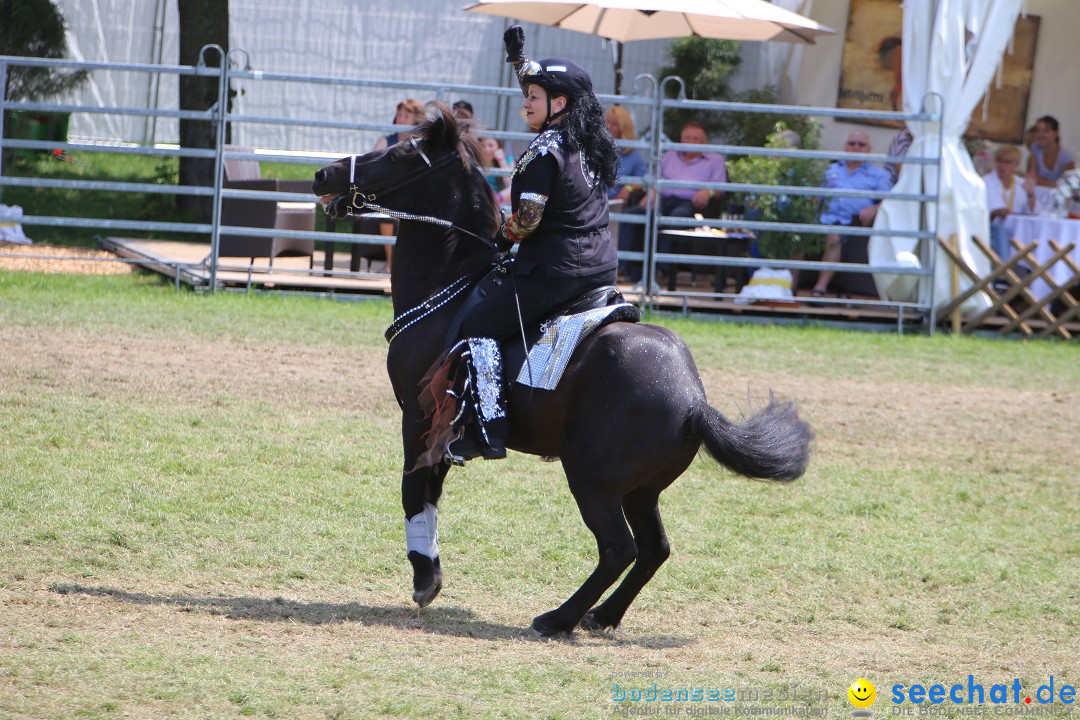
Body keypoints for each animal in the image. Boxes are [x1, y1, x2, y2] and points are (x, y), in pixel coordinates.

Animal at [313, 105, 812, 634]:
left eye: (401, 152)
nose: (322, 174)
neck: (453, 282)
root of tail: (693, 399)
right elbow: (429, 489)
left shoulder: (421, 416)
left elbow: (414, 488)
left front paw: (425, 577)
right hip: (640, 491)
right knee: (654, 549)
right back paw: (603, 615)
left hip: (592, 480)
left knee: (618, 549)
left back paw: (558, 617)